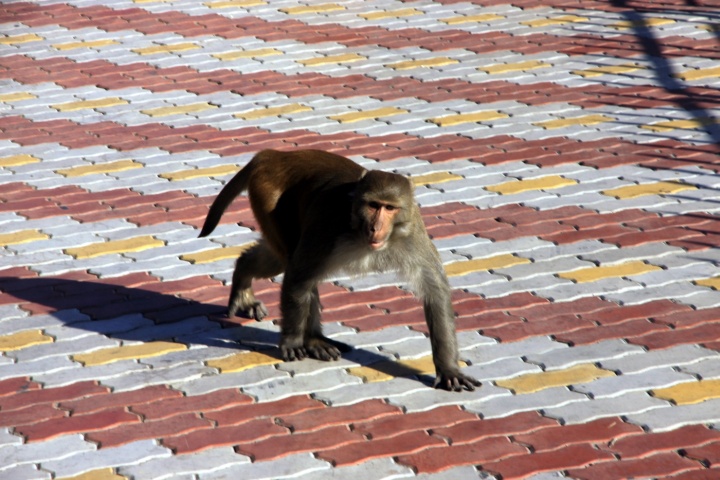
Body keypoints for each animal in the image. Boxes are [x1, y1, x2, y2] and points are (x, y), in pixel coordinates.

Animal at [199, 149, 480, 391]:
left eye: (390, 208)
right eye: (373, 205)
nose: (376, 227)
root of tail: (273, 155)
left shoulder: (413, 233)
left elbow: (435, 292)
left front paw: (448, 369)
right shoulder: (328, 222)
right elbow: (298, 278)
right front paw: (291, 340)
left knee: (281, 260)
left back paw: (248, 281)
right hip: (268, 197)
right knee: (293, 262)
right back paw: (310, 339)